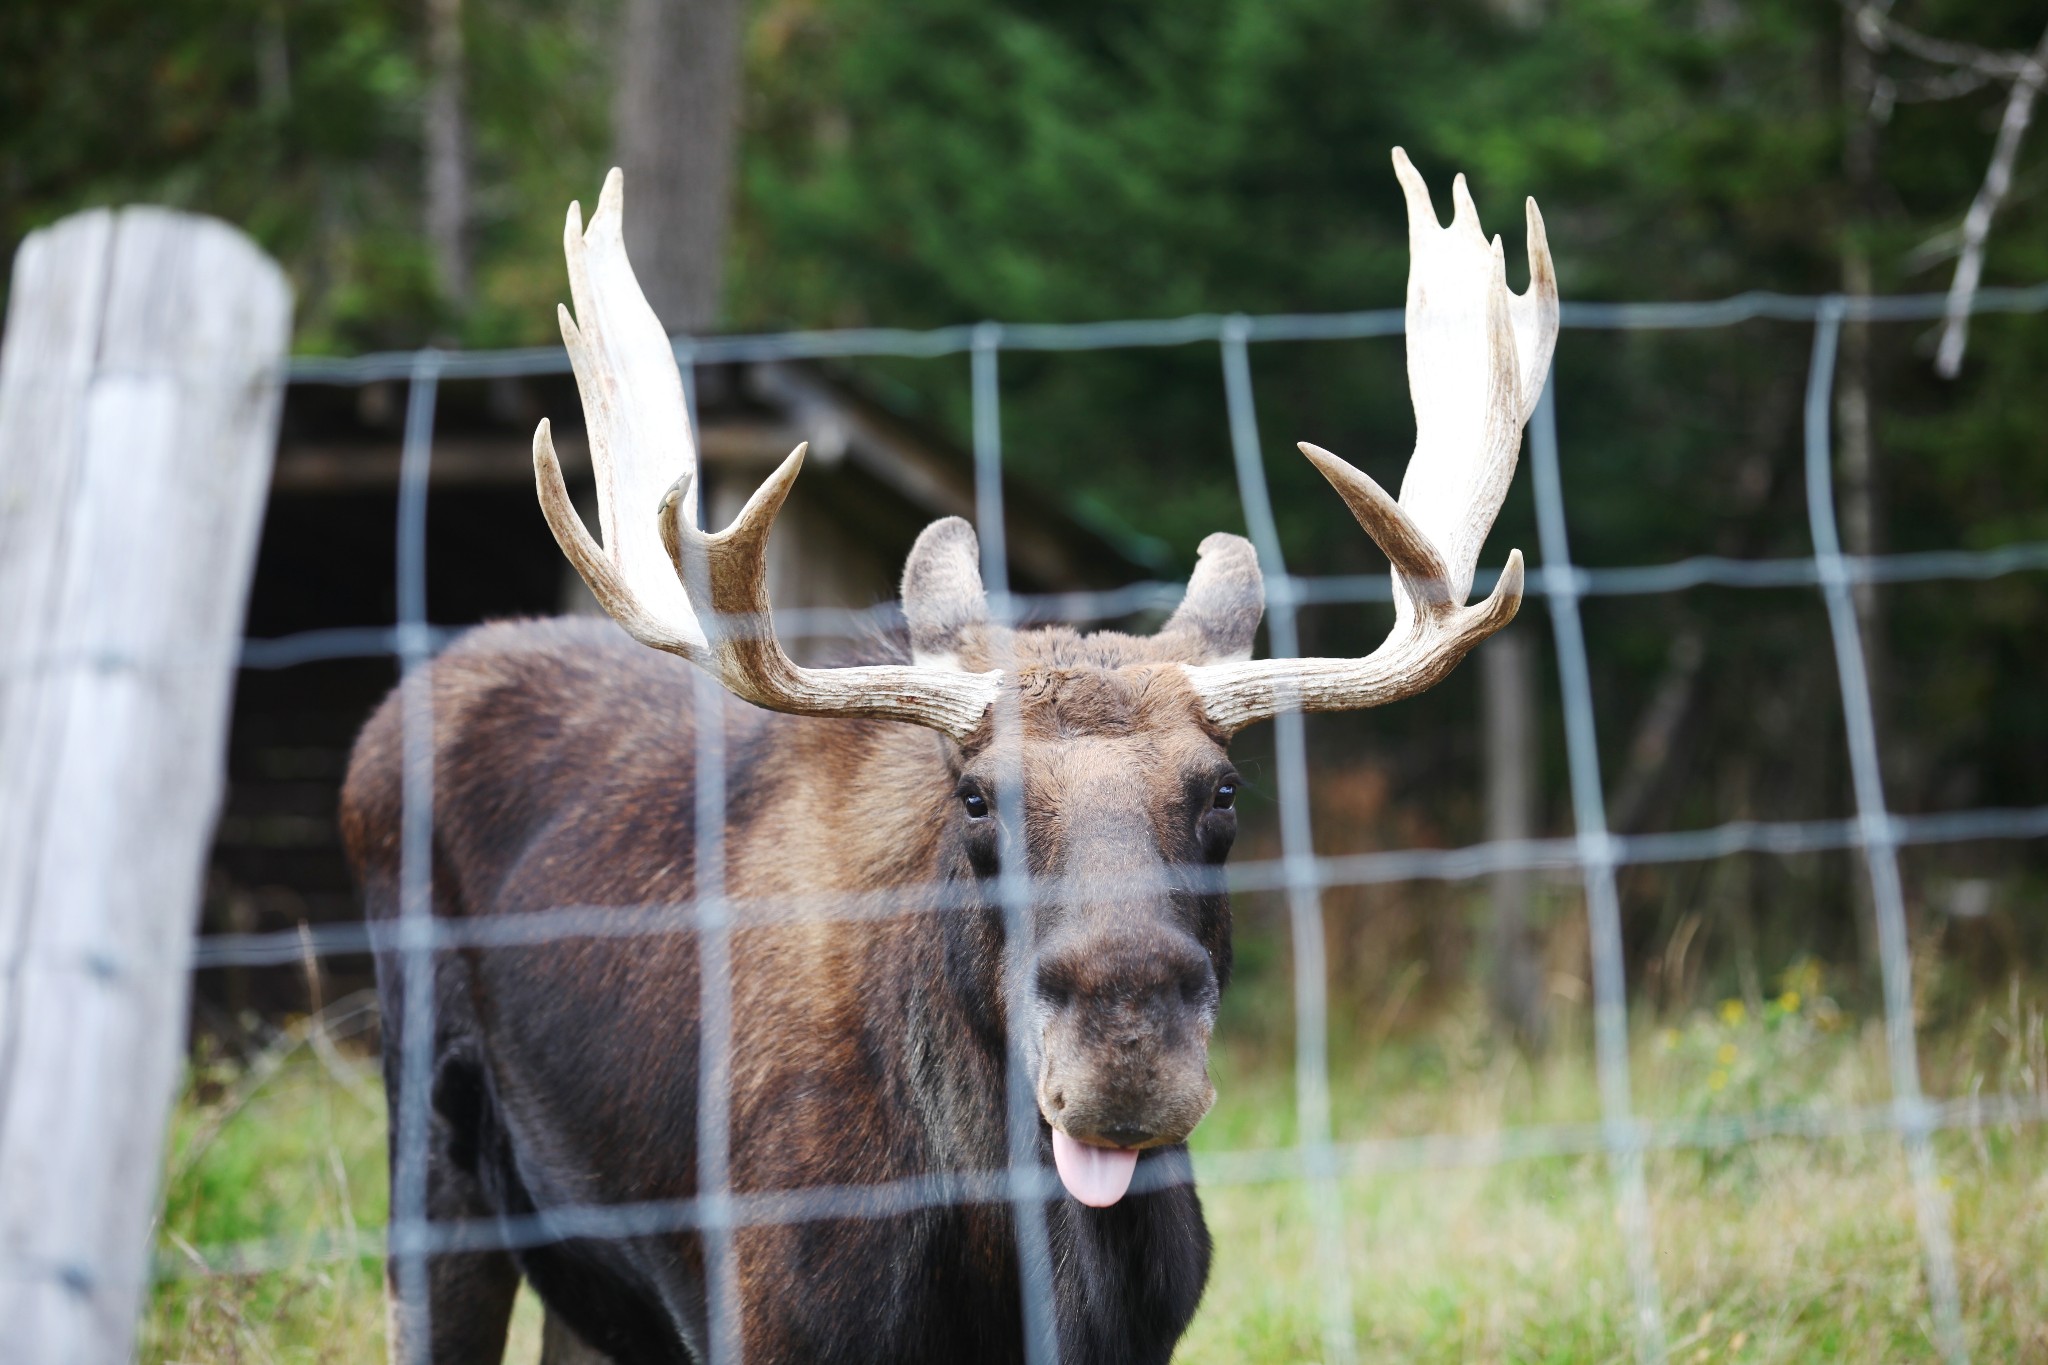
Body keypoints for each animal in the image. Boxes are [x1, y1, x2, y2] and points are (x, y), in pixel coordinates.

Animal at [339, 152, 1548, 1365]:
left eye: (1222, 790)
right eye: (972, 797)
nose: (1126, 1053)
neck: (1008, 1251)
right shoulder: (766, 1317)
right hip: (431, 1162)